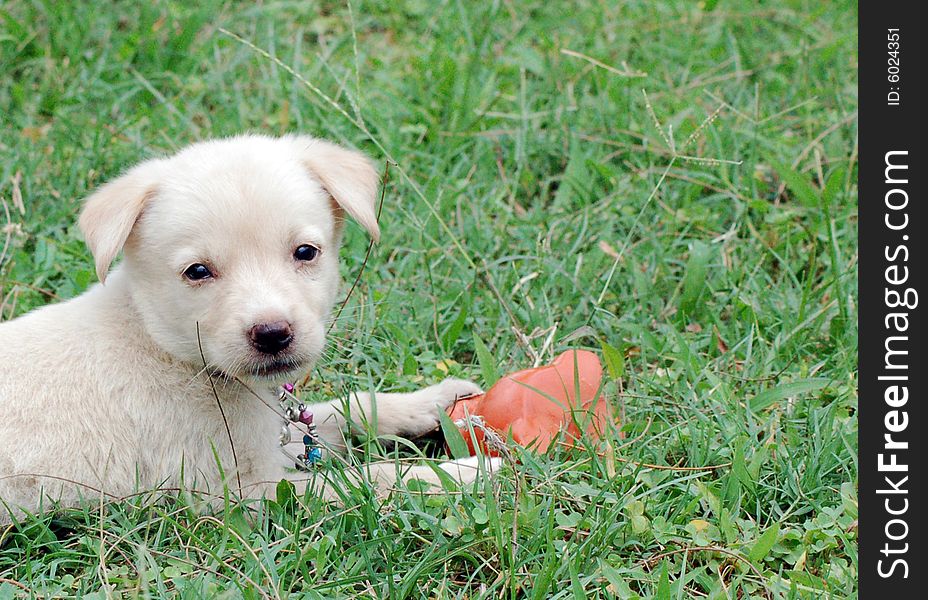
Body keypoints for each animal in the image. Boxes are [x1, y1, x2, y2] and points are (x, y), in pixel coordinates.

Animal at [0, 134, 492, 524]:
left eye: (305, 252)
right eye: (197, 272)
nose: (273, 334)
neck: (163, 345)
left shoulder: (275, 434)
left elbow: (345, 408)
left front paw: (433, 402)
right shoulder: (246, 490)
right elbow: (371, 479)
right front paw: (468, 473)